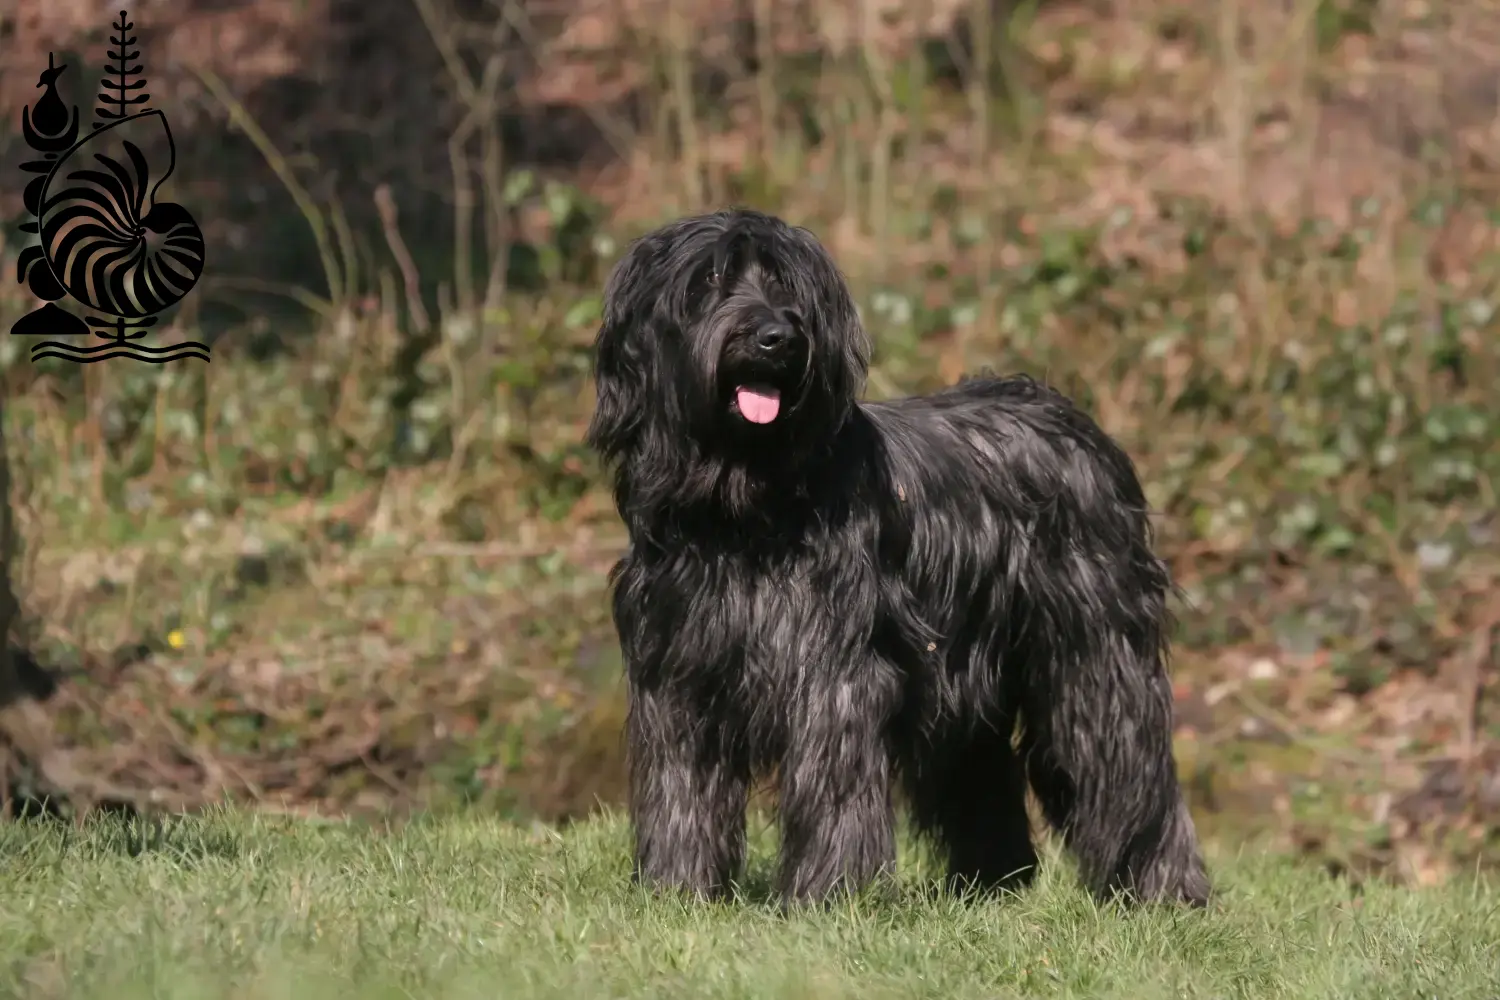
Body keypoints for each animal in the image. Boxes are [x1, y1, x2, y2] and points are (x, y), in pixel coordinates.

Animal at [585, 209, 1206, 905]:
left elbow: (832, 779)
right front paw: (676, 888)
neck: (741, 508)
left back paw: (1163, 889)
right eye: (709, 282)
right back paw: (989, 887)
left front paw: (826, 896)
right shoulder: (676, 672)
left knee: (1123, 761)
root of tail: (1075, 421)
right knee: (980, 770)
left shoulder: (832, 667)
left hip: (1094, 648)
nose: (776, 337)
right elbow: (681, 785)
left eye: (788, 286)